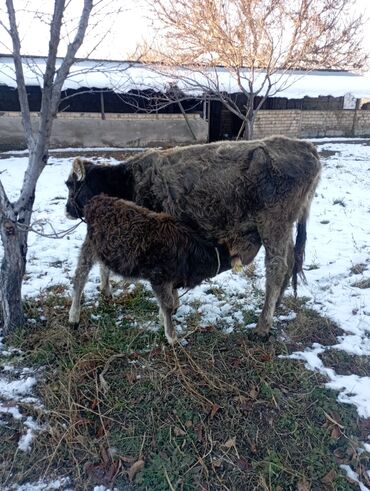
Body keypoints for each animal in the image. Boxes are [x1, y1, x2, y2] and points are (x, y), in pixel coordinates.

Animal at [68, 196, 233, 346]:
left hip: (105, 249)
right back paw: (74, 317)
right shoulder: (159, 278)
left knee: (104, 266)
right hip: (90, 246)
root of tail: (97, 200)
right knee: (80, 277)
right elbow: (168, 304)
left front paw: (162, 319)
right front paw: (172, 338)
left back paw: (106, 291)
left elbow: (172, 301)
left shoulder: (171, 280)